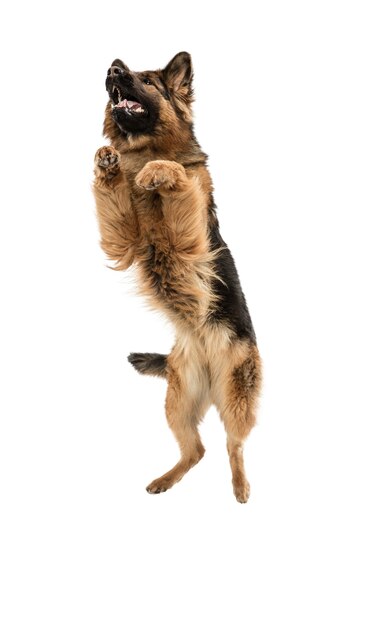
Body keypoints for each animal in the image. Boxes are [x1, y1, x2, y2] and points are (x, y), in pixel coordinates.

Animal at [94, 53, 262, 502]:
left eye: (148, 80)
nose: (113, 68)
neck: (147, 146)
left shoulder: (189, 239)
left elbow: (178, 175)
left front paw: (157, 171)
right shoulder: (124, 241)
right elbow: (115, 195)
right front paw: (108, 164)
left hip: (236, 395)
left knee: (233, 444)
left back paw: (240, 486)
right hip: (178, 401)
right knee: (197, 450)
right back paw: (164, 480)